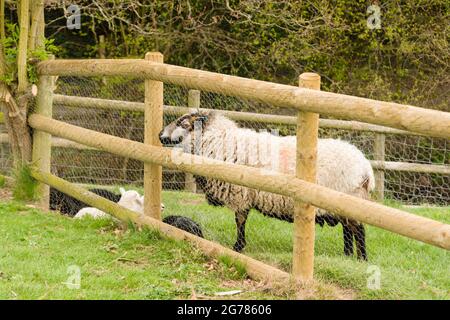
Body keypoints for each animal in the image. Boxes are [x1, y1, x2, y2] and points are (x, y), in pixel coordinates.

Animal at [160, 110, 374, 260]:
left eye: (183, 123)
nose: (160, 134)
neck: (219, 142)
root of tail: (365, 168)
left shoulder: (241, 194)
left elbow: (240, 221)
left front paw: (238, 247)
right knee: (348, 230)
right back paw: (347, 255)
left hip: (349, 198)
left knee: (358, 231)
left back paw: (361, 259)